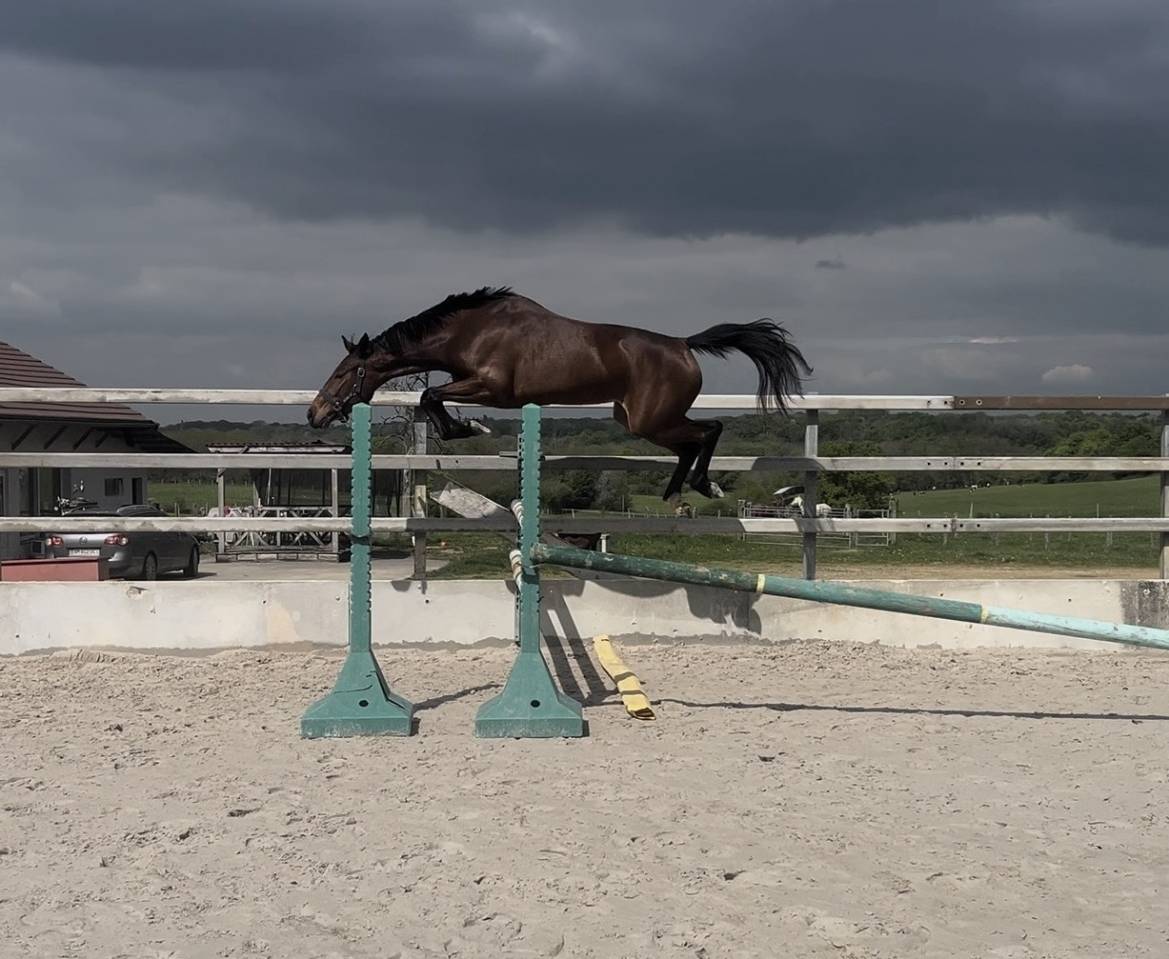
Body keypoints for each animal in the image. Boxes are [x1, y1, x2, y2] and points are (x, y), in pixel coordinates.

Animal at [307, 287, 811, 504]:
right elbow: (433, 398)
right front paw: (465, 427)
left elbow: (431, 396)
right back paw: (673, 491)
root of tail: (684, 345)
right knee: (692, 441)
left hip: (652, 418)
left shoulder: (493, 387)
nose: (315, 413)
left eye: (344, 373)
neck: (469, 330)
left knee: (710, 430)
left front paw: (469, 427)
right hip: (637, 420)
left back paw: (704, 485)